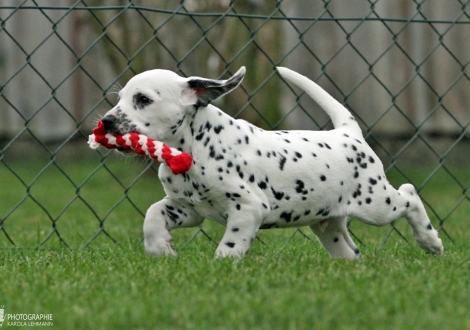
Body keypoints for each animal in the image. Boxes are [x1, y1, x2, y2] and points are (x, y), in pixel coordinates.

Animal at [102, 66, 444, 258]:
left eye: (143, 100)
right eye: (120, 98)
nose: (106, 122)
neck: (196, 146)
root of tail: (348, 133)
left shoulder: (248, 208)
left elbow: (229, 246)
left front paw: (222, 265)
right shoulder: (188, 208)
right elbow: (153, 214)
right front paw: (160, 248)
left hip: (376, 205)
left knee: (410, 195)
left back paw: (430, 241)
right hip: (329, 226)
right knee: (349, 250)